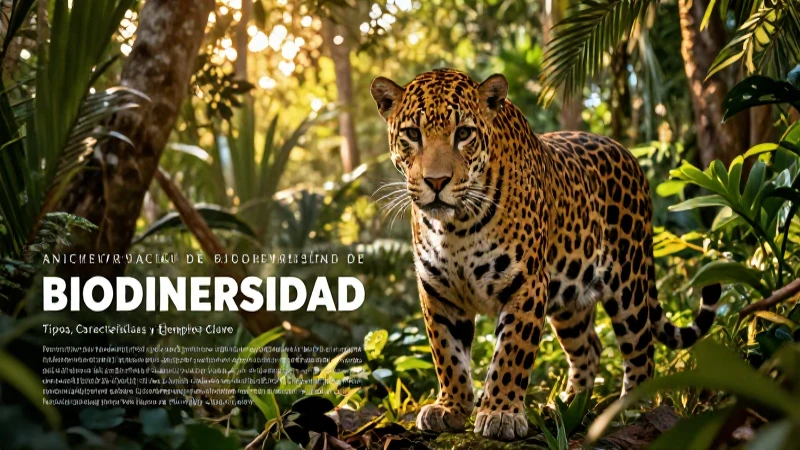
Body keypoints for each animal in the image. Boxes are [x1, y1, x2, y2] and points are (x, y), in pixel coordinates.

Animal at [369, 69, 721, 441]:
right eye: (412, 134)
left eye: (463, 133)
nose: (436, 182)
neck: (456, 227)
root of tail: (626, 152)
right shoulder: (438, 291)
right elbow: (447, 354)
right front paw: (451, 407)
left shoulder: (526, 283)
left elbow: (511, 354)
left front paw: (501, 413)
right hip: (570, 298)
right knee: (589, 348)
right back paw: (568, 404)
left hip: (629, 282)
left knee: (641, 349)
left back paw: (633, 407)